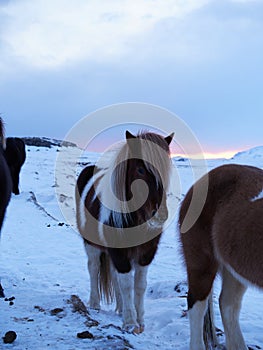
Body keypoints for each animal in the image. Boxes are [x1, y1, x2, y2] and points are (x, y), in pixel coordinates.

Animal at [75, 130, 174, 332]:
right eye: (140, 170)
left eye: (166, 168)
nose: (159, 215)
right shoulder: (119, 253)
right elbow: (127, 284)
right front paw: (130, 322)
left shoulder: (146, 253)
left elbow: (139, 285)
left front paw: (139, 320)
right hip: (92, 245)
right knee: (93, 268)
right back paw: (94, 304)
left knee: (114, 276)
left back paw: (120, 308)